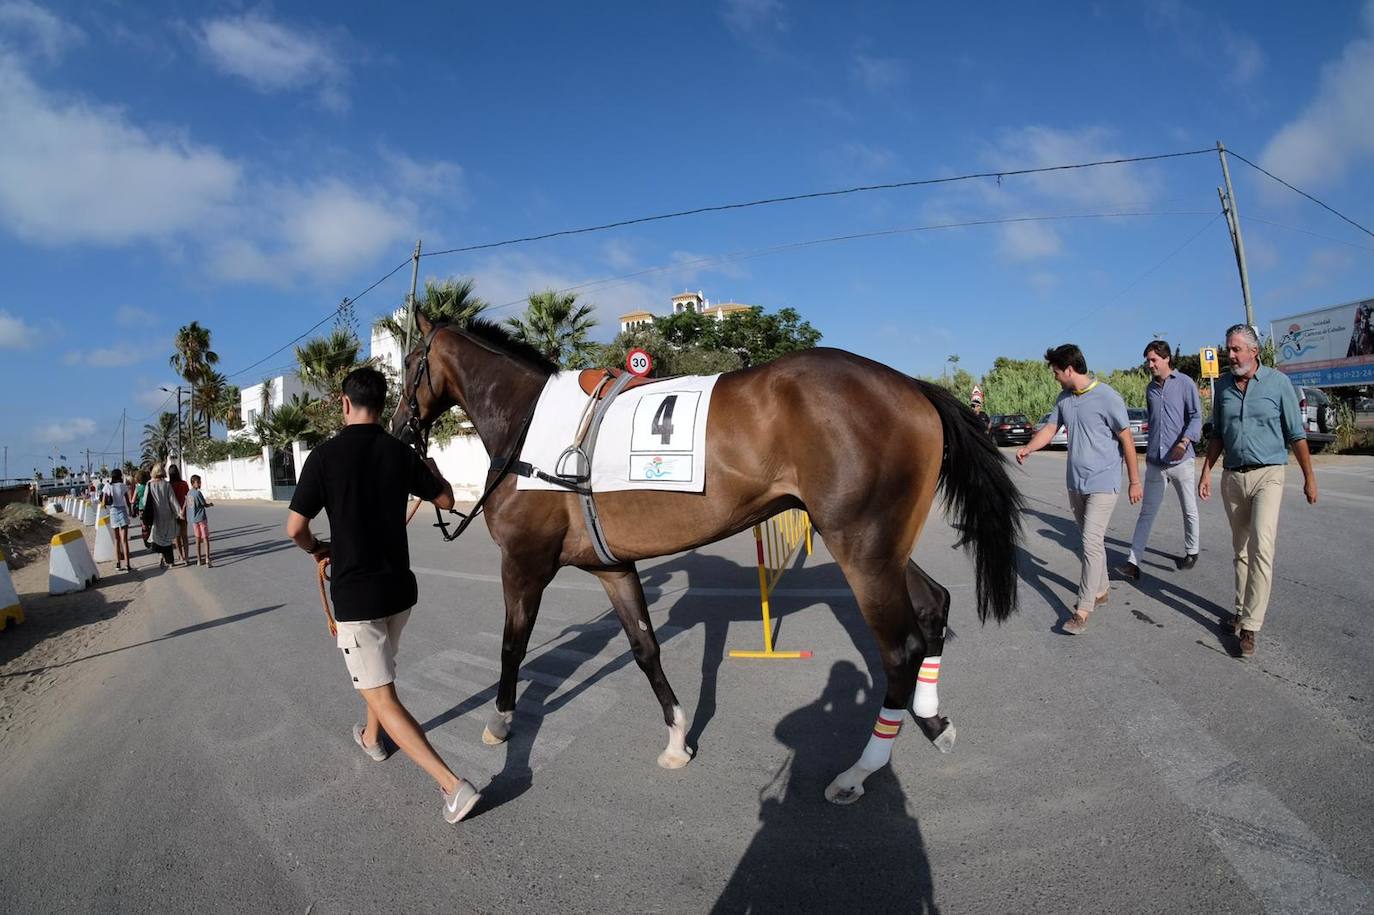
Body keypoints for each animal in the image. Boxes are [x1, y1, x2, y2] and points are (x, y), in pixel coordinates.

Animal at [390, 310, 1022, 802]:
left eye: (409, 361)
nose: (397, 431)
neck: (533, 430)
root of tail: (911, 386)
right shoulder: (611, 567)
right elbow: (644, 649)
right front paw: (676, 738)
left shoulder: (524, 564)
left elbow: (512, 646)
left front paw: (499, 722)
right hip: (882, 549)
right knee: (934, 605)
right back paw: (933, 722)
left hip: (861, 550)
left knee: (900, 649)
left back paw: (859, 771)